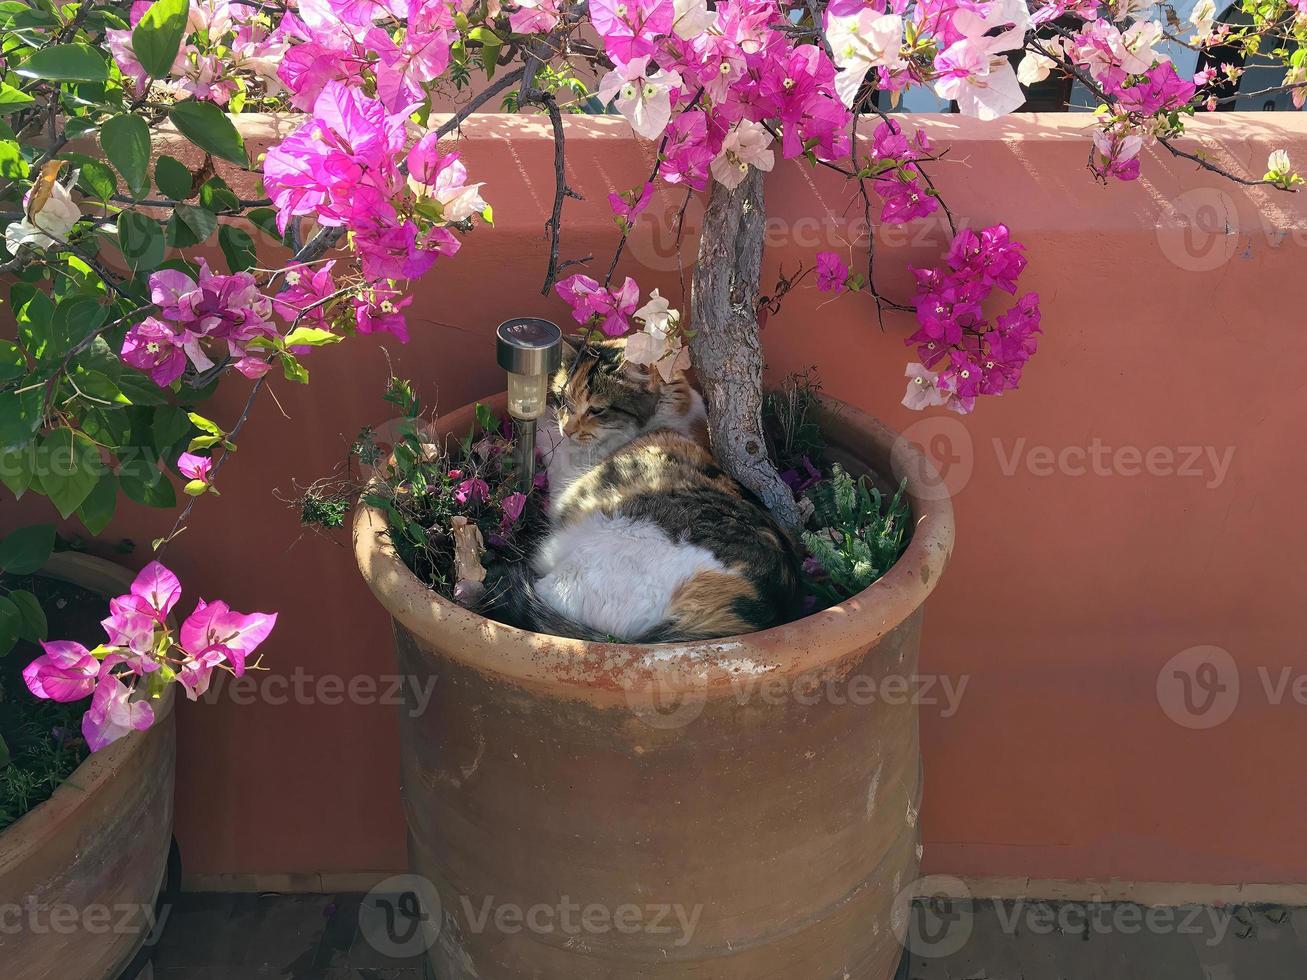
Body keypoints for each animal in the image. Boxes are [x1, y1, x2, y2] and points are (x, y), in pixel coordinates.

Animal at [514, 337, 799, 645]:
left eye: (597, 410)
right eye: (564, 399)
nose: (567, 429)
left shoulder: (569, 471)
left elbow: (555, 447)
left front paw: (541, 424)